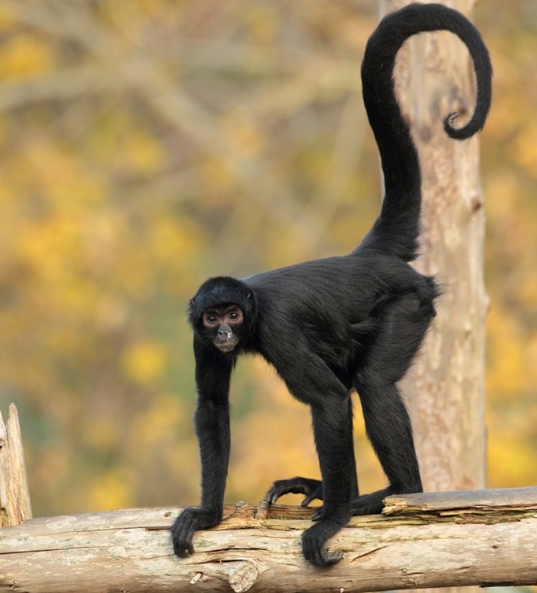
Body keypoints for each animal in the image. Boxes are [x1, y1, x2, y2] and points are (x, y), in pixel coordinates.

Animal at [171, 5, 490, 568]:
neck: (252, 311)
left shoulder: (275, 327)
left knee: (373, 385)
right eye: (213, 318)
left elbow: (330, 401)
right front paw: (209, 515)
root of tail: (367, 257)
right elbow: (211, 406)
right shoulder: (196, 336)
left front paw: (332, 522)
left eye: (235, 314)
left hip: (410, 303)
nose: (226, 333)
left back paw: (390, 493)